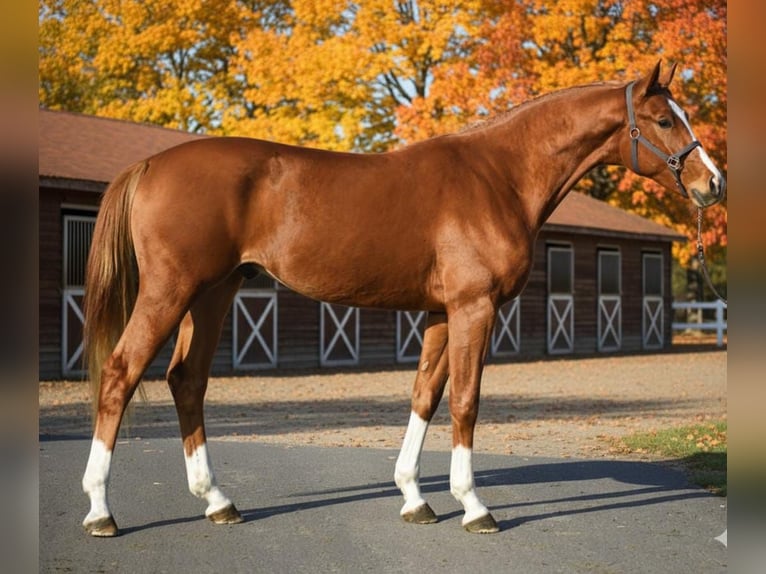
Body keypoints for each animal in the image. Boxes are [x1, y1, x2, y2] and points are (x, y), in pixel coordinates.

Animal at [81, 62, 725, 536]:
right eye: (664, 119)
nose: (712, 184)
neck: (499, 176)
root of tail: (149, 165)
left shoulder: (442, 313)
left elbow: (425, 396)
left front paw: (416, 498)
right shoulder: (474, 308)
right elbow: (465, 402)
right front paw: (474, 506)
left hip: (213, 295)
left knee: (187, 380)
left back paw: (216, 500)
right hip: (170, 292)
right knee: (120, 374)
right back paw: (101, 510)